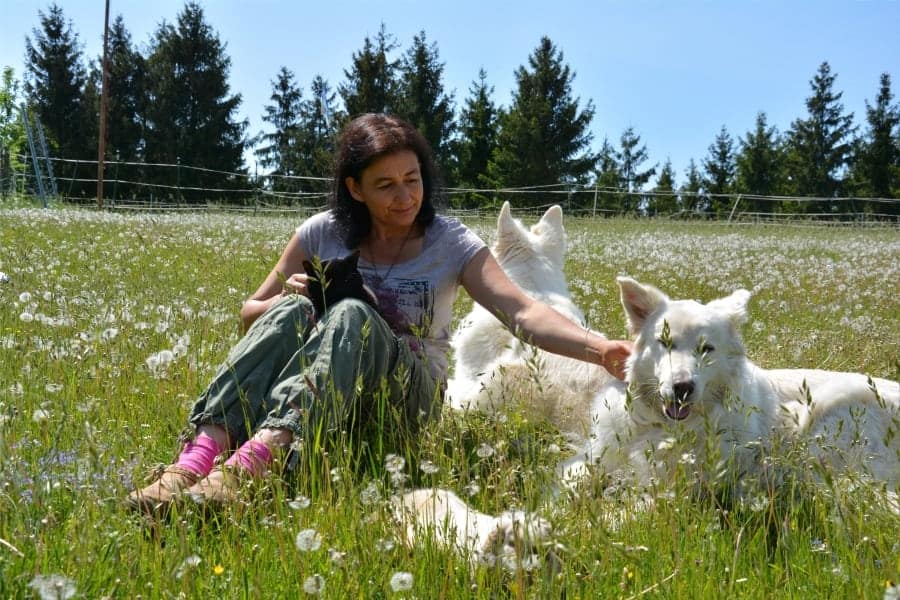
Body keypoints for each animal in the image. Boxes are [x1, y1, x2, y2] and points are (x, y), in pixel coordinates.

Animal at [564, 276, 900, 506]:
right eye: (666, 342)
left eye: (706, 349)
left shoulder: (674, 491)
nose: (682, 388)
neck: (661, 426)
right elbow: (573, 479)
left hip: (821, 416)